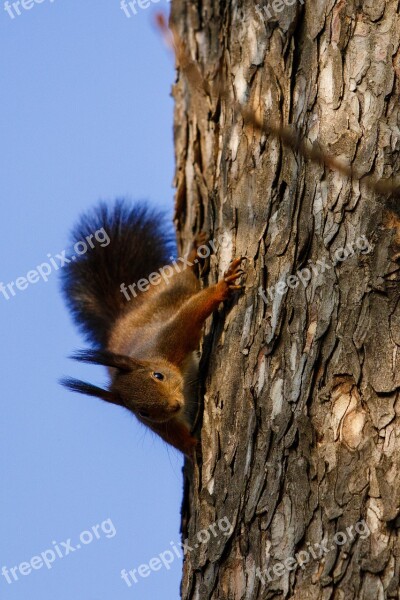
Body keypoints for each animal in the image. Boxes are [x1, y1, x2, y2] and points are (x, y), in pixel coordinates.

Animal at [60, 199, 242, 458]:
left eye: (158, 375)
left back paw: (194, 252)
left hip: (171, 284)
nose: (175, 405)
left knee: (181, 269)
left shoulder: (171, 337)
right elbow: (175, 437)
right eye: (142, 412)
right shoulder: (160, 425)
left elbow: (194, 310)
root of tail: (128, 307)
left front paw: (222, 287)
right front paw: (193, 447)